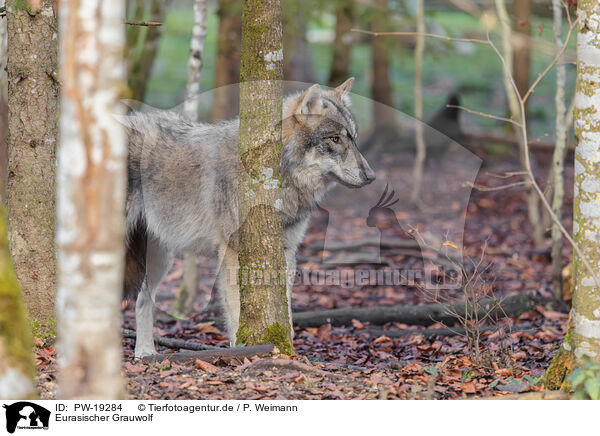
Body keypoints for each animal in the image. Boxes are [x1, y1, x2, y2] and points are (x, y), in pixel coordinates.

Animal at [122, 78, 376, 358]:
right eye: (334, 139)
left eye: (353, 138)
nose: (371, 176)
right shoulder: (232, 252)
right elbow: (236, 312)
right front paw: (241, 351)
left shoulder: (286, 252)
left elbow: (284, 311)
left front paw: (287, 349)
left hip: (159, 258)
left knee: (142, 299)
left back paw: (144, 352)